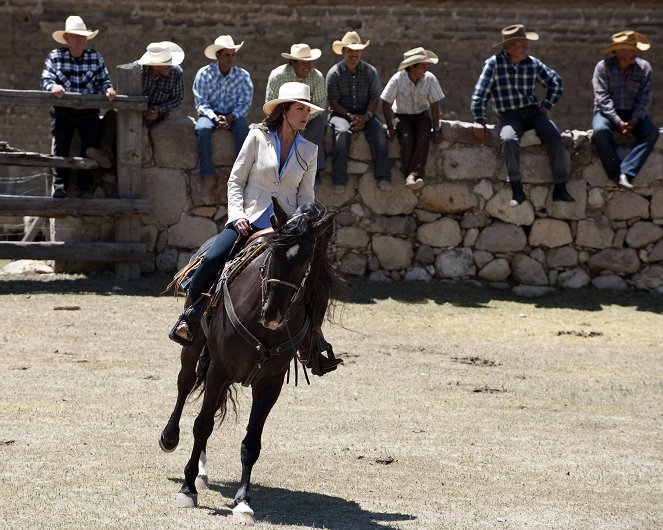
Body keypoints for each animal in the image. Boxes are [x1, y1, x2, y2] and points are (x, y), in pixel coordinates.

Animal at [160, 200, 338, 520]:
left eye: (307, 259)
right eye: (273, 251)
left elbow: (251, 442)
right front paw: (187, 488)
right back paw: (170, 439)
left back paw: (203, 471)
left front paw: (243, 501)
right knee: (185, 385)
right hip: (194, 348)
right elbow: (202, 425)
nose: (273, 313)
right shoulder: (219, 369)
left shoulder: (270, 383)